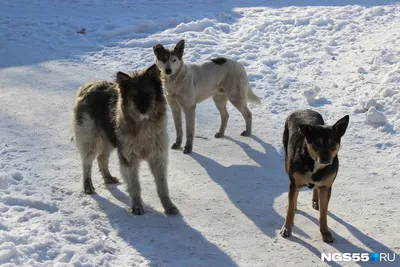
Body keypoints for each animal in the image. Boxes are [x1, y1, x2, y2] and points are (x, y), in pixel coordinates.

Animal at [71, 65, 179, 216]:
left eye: (148, 93)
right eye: (134, 96)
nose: (143, 110)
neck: (143, 126)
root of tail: (89, 85)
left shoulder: (158, 157)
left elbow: (162, 186)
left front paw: (168, 206)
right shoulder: (129, 159)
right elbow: (135, 185)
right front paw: (137, 206)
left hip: (110, 140)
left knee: (101, 158)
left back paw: (108, 177)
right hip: (90, 141)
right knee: (87, 164)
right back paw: (88, 186)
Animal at [280, 110, 348, 244]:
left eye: (333, 144)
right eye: (317, 143)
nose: (326, 159)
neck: (314, 164)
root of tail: (303, 110)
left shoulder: (326, 187)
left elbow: (323, 214)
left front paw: (325, 232)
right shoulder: (294, 183)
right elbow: (290, 208)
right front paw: (287, 228)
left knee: (316, 189)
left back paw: (316, 200)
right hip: (286, 160)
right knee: (293, 196)